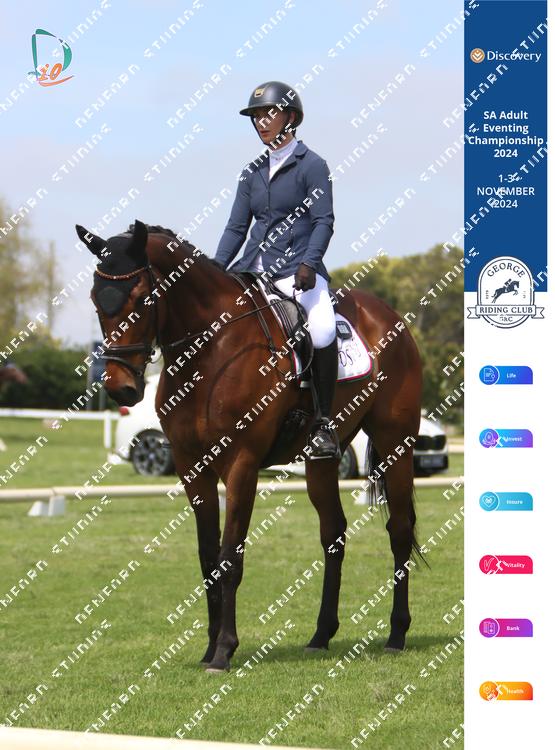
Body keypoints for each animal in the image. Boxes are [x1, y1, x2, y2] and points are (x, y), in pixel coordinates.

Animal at [75, 219, 423, 672]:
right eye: (95, 299)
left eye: (141, 298)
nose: (121, 388)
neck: (210, 349)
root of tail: (389, 315)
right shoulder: (191, 466)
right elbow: (208, 556)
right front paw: (209, 648)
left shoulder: (241, 463)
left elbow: (229, 557)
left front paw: (224, 650)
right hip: (322, 460)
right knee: (333, 534)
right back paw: (320, 636)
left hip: (395, 441)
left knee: (399, 530)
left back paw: (397, 634)